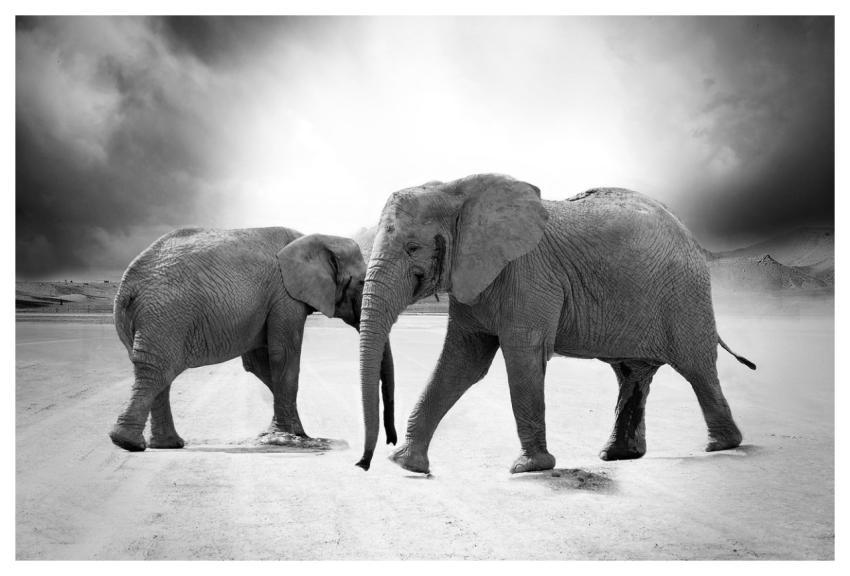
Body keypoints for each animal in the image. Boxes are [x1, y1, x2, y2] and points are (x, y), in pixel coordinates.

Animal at [109, 227, 396, 452]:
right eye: (362, 283)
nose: (391, 442)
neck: (314, 237)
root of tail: (126, 287)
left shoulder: (270, 303)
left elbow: (259, 363)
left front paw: (297, 433)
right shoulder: (284, 295)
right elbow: (283, 356)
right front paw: (290, 437)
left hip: (151, 320)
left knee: (158, 374)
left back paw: (165, 445)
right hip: (165, 316)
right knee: (158, 371)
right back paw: (128, 443)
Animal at [354, 174, 755, 473]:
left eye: (412, 248)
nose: (363, 463)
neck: (456, 191)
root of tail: (690, 235)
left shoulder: (528, 275)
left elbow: (522, 355)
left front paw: (530, 468)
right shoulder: (474, 279)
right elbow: (462, 362)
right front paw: (406, 464)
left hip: (685, 295)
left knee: (696, 367)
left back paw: (721, 444)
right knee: (632, 374)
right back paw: (618, 455)